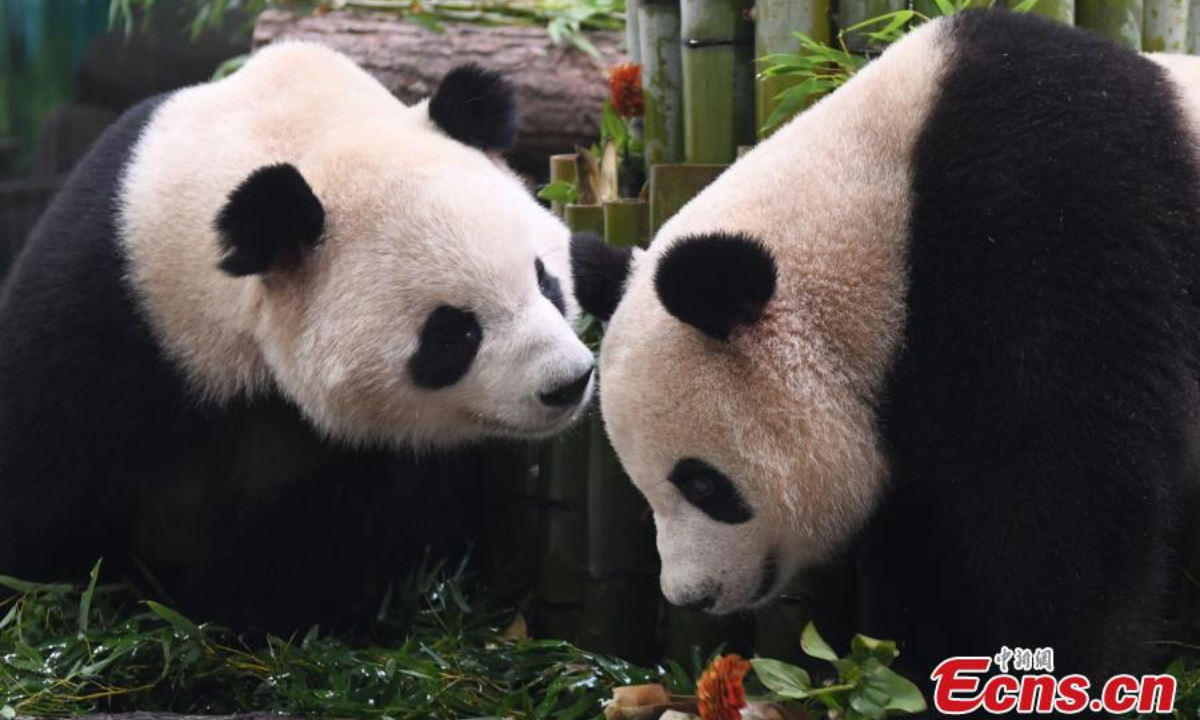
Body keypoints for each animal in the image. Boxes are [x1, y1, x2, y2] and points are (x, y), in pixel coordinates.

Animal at [0, 42, 595, 629]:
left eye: (545, 280)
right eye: (452, 335)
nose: (568, 382)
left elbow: (342, 529)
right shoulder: (117, 302)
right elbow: (43, 471)